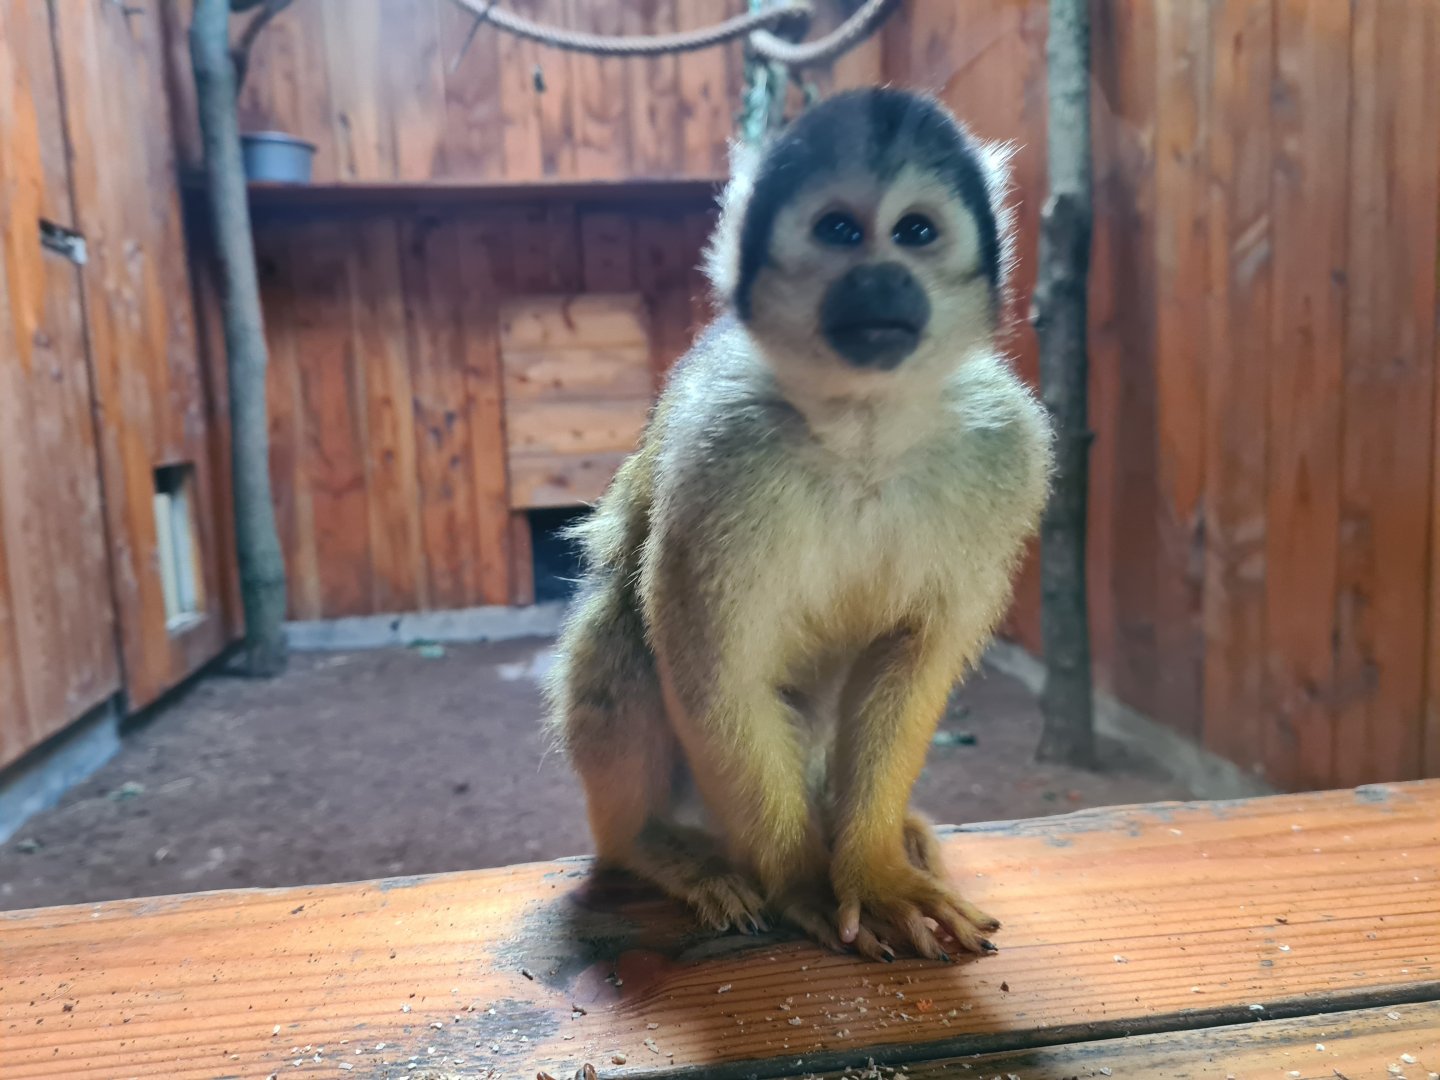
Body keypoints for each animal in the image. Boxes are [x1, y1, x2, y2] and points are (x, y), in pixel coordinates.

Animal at [545, 88, 1052, 962]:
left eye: (915, 232)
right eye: (840, 231)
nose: (882, 279)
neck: (862, 426)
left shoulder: (1006, 447)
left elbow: (915, 652)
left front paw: (873, 866)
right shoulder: (721, 454)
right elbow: (712, 665)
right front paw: (804, 880)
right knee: (623, 624)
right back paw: (648, 843)